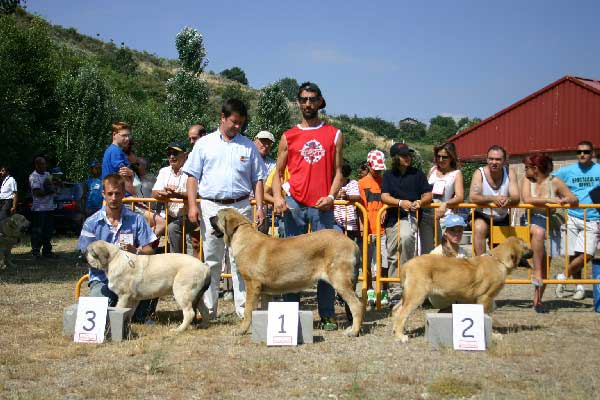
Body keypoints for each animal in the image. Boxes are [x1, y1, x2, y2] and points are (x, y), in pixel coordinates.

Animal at [209, 209, 364, 338]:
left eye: (217, 216)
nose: (210, 217)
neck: (242, 237)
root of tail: (353, 243)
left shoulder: (252, 285)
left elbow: (248, 311)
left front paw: (241, 330)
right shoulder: (265, 291)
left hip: (340, 281)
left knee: (357, 305)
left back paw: (353, 332)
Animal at [392, 236, 532, 342]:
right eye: (526, 247)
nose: (534, 252)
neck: (499, 261)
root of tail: (407, 264)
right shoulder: (485, 298)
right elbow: (486, 319)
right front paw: (493, 336)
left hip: (409, 294)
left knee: (396, 309)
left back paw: (398, 330)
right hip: (417, 294)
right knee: (402, 313)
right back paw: (400, 336)